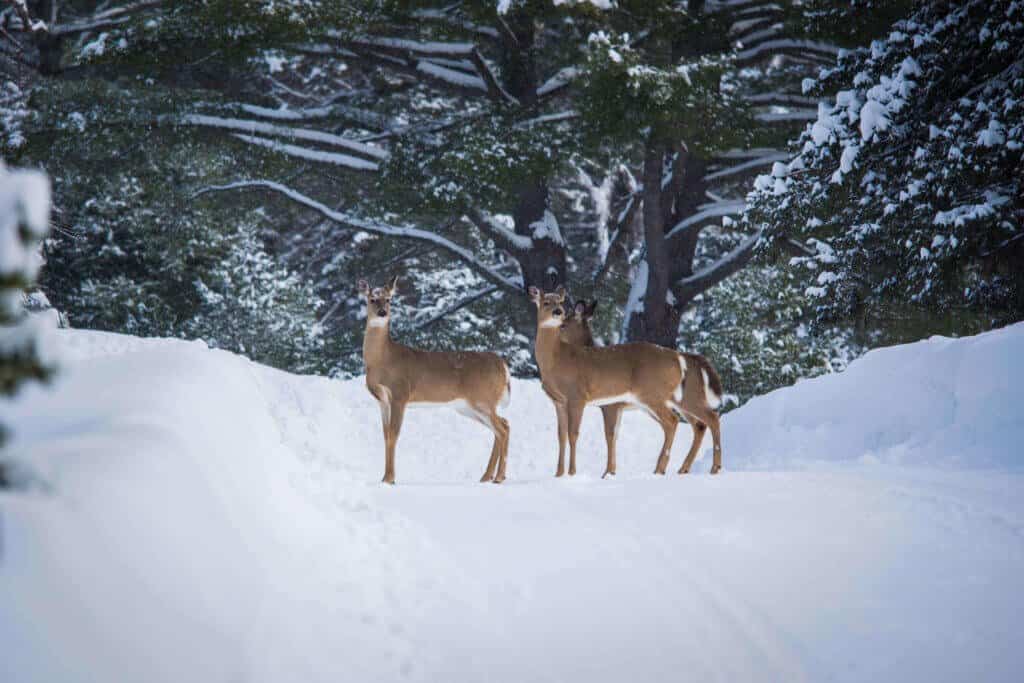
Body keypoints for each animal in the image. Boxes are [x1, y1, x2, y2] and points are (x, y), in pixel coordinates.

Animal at [360, 278, 512, 485]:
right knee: (502, 425)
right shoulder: (382, 400)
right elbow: (385, 436)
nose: (382, 312)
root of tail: (502, 365)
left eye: (389, 299)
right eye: (373, 299)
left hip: (483, 399)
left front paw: (390, 478)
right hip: (469, 406)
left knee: (503, 428)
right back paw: (487, 476)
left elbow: (393, 435)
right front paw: (384, 477)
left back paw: (498, 477)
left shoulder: (401, 394)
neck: (381, 361)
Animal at [532, 286, 724, 479]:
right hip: (668, 399)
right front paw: (560, 474)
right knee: (698, 424)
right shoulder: (561, 401)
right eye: (546, 302)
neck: (558, 360)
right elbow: (563, 435)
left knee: (689, 420)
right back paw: (679, 468)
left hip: (656, 394)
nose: (558, 313)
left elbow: (591, 434)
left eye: (564, 324)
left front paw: (581, 473)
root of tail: (679, 357)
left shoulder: (588, 399)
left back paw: (696, 468)